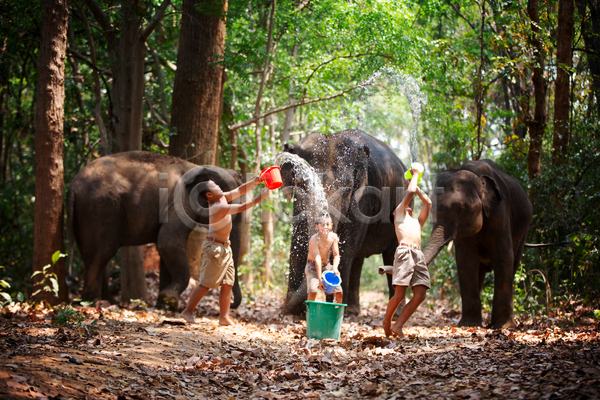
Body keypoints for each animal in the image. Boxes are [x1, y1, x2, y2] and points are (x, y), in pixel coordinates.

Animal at [67, 151, 246, 309]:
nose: (232, 304)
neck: (200, 167)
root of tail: (73, 186)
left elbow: (166, 248)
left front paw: (164, 304)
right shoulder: (179, 203)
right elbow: (168, 243)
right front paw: (170, 301)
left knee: (95, 255)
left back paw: (111, 301)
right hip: (100, 209)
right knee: (101, 253)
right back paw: (94, 303)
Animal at [280, 129, 409, 315]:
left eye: (348, 188)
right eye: (301, 184)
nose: (285, 307)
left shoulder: (363, 199)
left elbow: (345, 247)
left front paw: (334, 307)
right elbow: (298, 241)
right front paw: (294, 311)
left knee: (392, 254)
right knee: (358, 259)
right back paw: (353, 310)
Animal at [423, 159, 532, 329]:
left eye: (461, 209)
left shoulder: (500, 212)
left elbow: (504, 257)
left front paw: (503, 327)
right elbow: (466, 262)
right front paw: (468, 325)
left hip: (524, 231)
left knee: (514, 262)